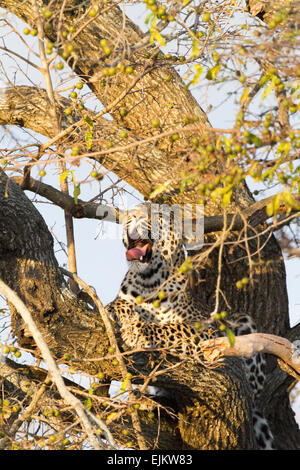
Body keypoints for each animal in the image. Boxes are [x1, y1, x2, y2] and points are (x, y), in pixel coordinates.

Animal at [108, 203, 274, 452]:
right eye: (132, 211)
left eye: (157, 214)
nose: (134, 216)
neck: (148, 283)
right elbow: (121, 303)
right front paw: (120, 310)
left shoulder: (205, 329)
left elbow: (174, 328)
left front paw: (140, 331)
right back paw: (148, 400)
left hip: (244, 321)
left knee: (252, 390)